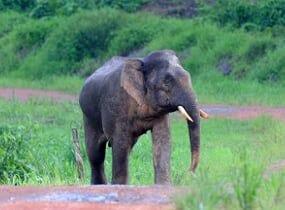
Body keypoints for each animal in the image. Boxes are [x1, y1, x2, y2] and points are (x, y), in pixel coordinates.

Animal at [79, 50, 207, 185]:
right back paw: (99, 185)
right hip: (89, 117)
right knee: (96, 153)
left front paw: (163, 185)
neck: (143, 63)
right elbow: (120, 142)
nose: (188, 173)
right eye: (166, 82)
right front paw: (120, 185)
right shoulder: (118, 106)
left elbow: (162, 140)